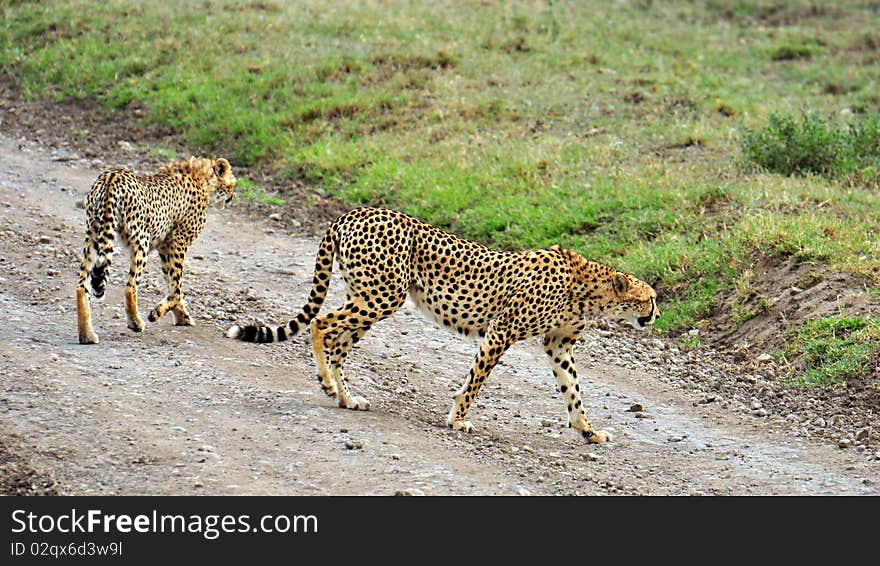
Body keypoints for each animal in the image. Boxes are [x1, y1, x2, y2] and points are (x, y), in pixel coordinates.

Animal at [77, 156, 234, 346]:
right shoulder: (176, 242)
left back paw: (86, 335)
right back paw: (135, 322)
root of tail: (111, 178)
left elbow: (172, 284)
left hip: (93, 237)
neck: (202, 178)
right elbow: (176, 288)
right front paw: (157, 313)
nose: (232, 197)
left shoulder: (165, 246)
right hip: (141, 242)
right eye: (232, 184)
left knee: (81, 287)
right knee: (130, 287)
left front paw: (182, 316)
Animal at [223, 207, 656, 444]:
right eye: (649, 298)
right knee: (321, 324)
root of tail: (354, 212)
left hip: (369, 297)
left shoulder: (558, 345)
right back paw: (328, 384)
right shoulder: (501, 331)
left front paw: (588, 431)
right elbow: (475, 381)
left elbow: (574, 391)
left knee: (339, 342)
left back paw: (346, 397)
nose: (656, 314)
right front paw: (458, 419)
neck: (591, 290)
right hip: (383, 296)